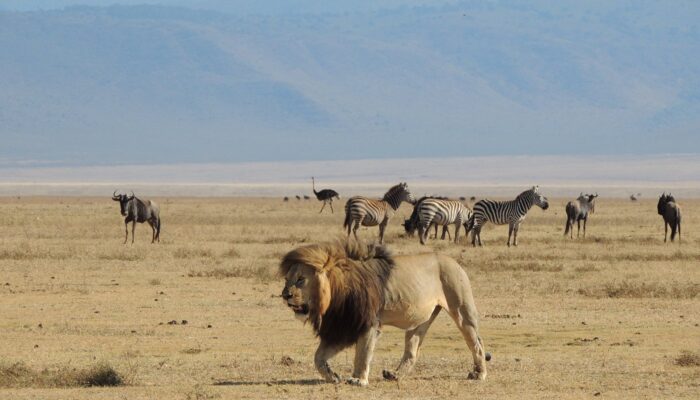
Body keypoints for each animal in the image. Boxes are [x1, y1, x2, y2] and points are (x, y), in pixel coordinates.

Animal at [278, 239, 486, 386]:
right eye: (287, 279)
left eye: (301, 280)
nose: (285, 295)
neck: (334, 294)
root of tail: (453, 261)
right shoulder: (343, 327)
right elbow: (318, 357)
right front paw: (333, 376)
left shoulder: (368, 324)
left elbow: (362, 354)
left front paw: (358, 379)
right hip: (419, 321)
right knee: (412, 351)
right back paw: (394, 375)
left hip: (462, 310)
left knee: (477, 344)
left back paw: (479, 373)